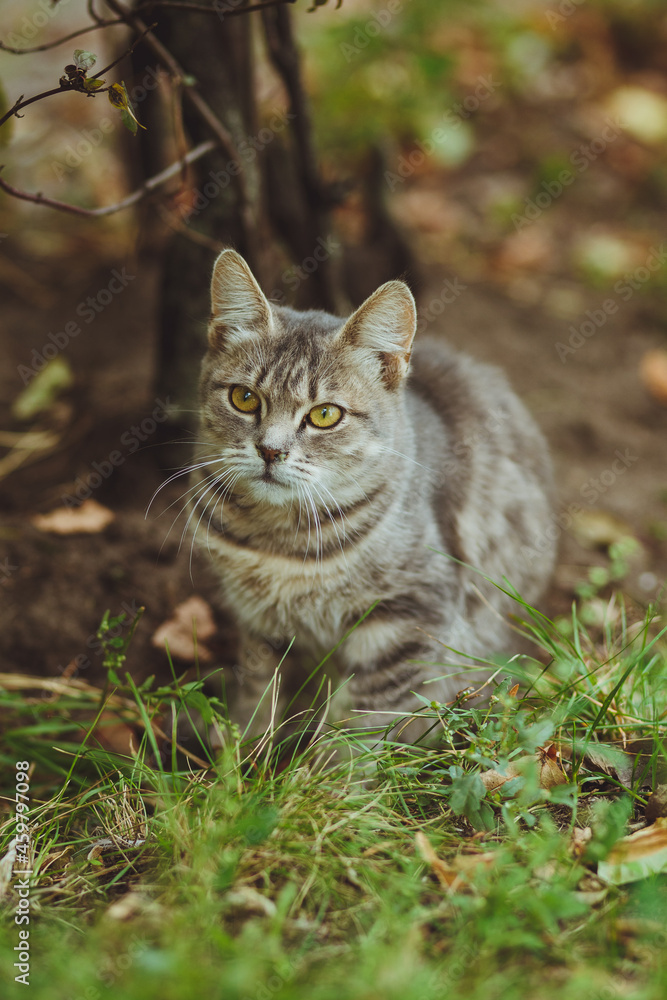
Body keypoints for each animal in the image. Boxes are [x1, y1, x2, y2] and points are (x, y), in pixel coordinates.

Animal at [190, 252, 556, 744]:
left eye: (325, 415)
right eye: (244, 398)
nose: (270, 450)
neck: (278, 539)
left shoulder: (407, 616)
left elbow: (364, 723)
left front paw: (329, 765)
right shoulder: (259, 623)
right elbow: (258, 691)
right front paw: (242, 752)